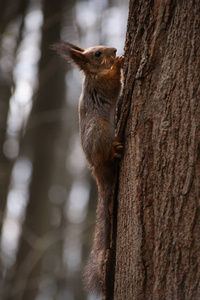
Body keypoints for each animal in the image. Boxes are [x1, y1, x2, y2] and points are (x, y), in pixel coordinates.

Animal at [52, 41, 123, 294]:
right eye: (98, 54)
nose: (114, 50)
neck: (93, 74)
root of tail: (96, 170)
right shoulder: (101, 86)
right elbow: (113, 83)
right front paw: (120, 62)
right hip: (100, 129)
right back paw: (113, 150)